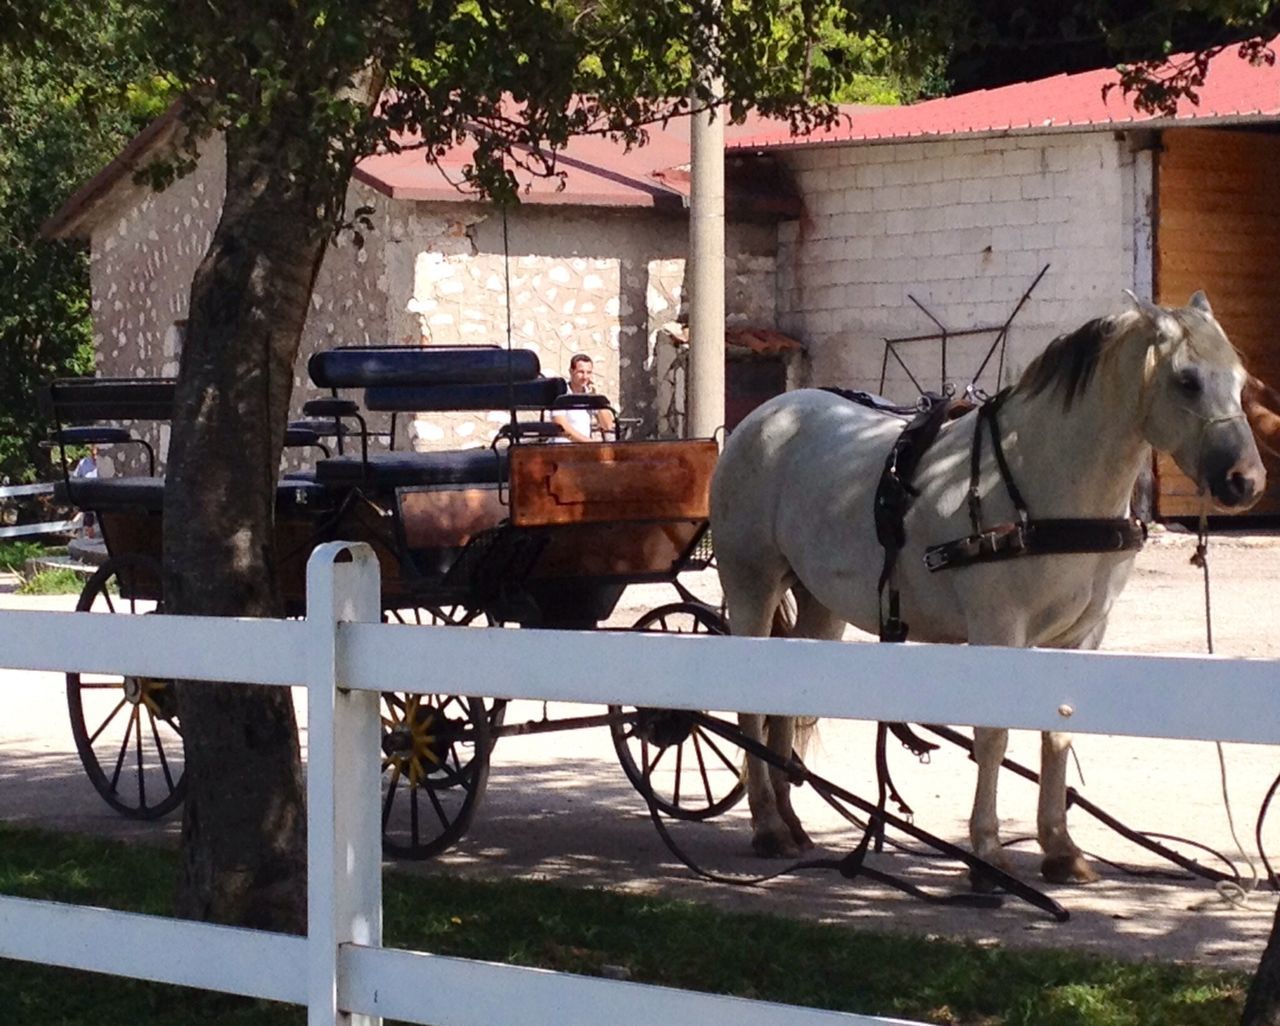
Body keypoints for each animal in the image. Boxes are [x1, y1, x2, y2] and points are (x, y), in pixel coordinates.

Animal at [716, 290, 1264, 880]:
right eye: (1186, 380)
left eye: (1241, 380)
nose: (1246, 481)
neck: (1044, 484)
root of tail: (764, 416)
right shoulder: (998, 629)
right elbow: (994, 735)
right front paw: (986, 851)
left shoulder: (1081, 637)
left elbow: (1056, 734)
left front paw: (1061, 849)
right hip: (751, 586)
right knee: (750, 708)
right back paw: (768, 826)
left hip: (820, 606)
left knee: (782, 704)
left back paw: (790, 823)